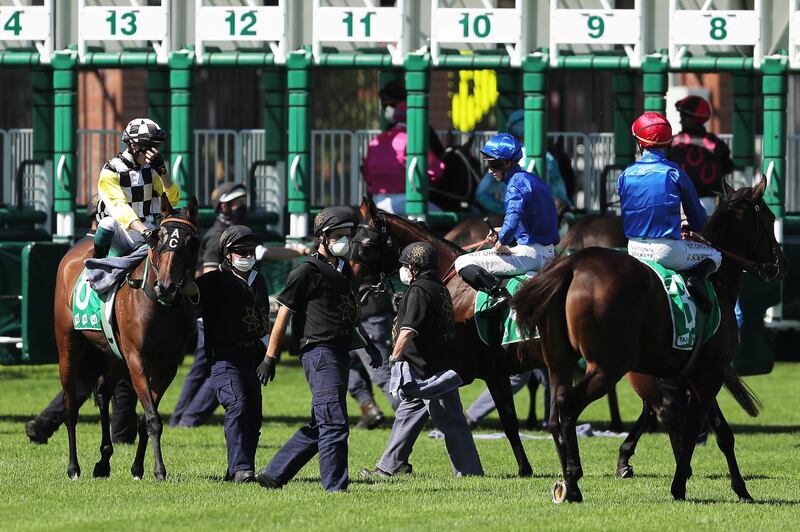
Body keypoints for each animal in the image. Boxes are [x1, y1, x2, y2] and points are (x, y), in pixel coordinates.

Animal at [55, 195, 198, 482]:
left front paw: (138, 468)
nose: (166, 286)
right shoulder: (137, 360)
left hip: (114, 356)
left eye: (190, 243)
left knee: (102, 391)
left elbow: (146, 417)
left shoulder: (167, 367)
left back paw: (103, 461)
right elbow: (153, 418)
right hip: (68, 345)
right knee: (70, 407)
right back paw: (74, 468)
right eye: (158, 238)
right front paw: (159, 470)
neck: (156, 305)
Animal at [512, 180, 788, 502]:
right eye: (769, 217)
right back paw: (573, 479)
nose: (780, 264)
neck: (717, 284)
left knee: (556, 413)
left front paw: (739, 488)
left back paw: (567, 483)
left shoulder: (695, 374)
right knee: (569, 406)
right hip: (608, 367)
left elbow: (720, 432)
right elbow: (697, 430)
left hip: (560, 363)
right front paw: (682, 485)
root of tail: (574, 265)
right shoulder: (710, 373)